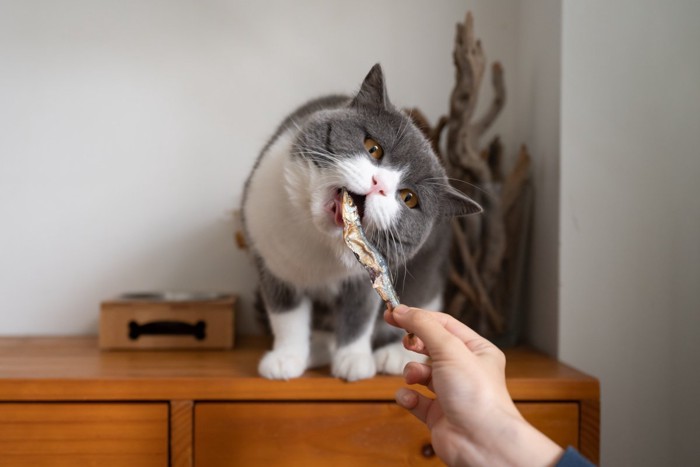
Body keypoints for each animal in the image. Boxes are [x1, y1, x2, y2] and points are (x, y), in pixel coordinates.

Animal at [241, 65, 482, 380]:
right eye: (373, 147)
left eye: (409, 198)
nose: (379, 184)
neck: (319, 242)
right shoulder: (273, 262)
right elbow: (286, 315)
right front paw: (285, 359)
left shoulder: (370, 272)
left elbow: (359, 315)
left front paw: (353, 361)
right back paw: (318, 349)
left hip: (429, 266)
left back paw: (394, 355)